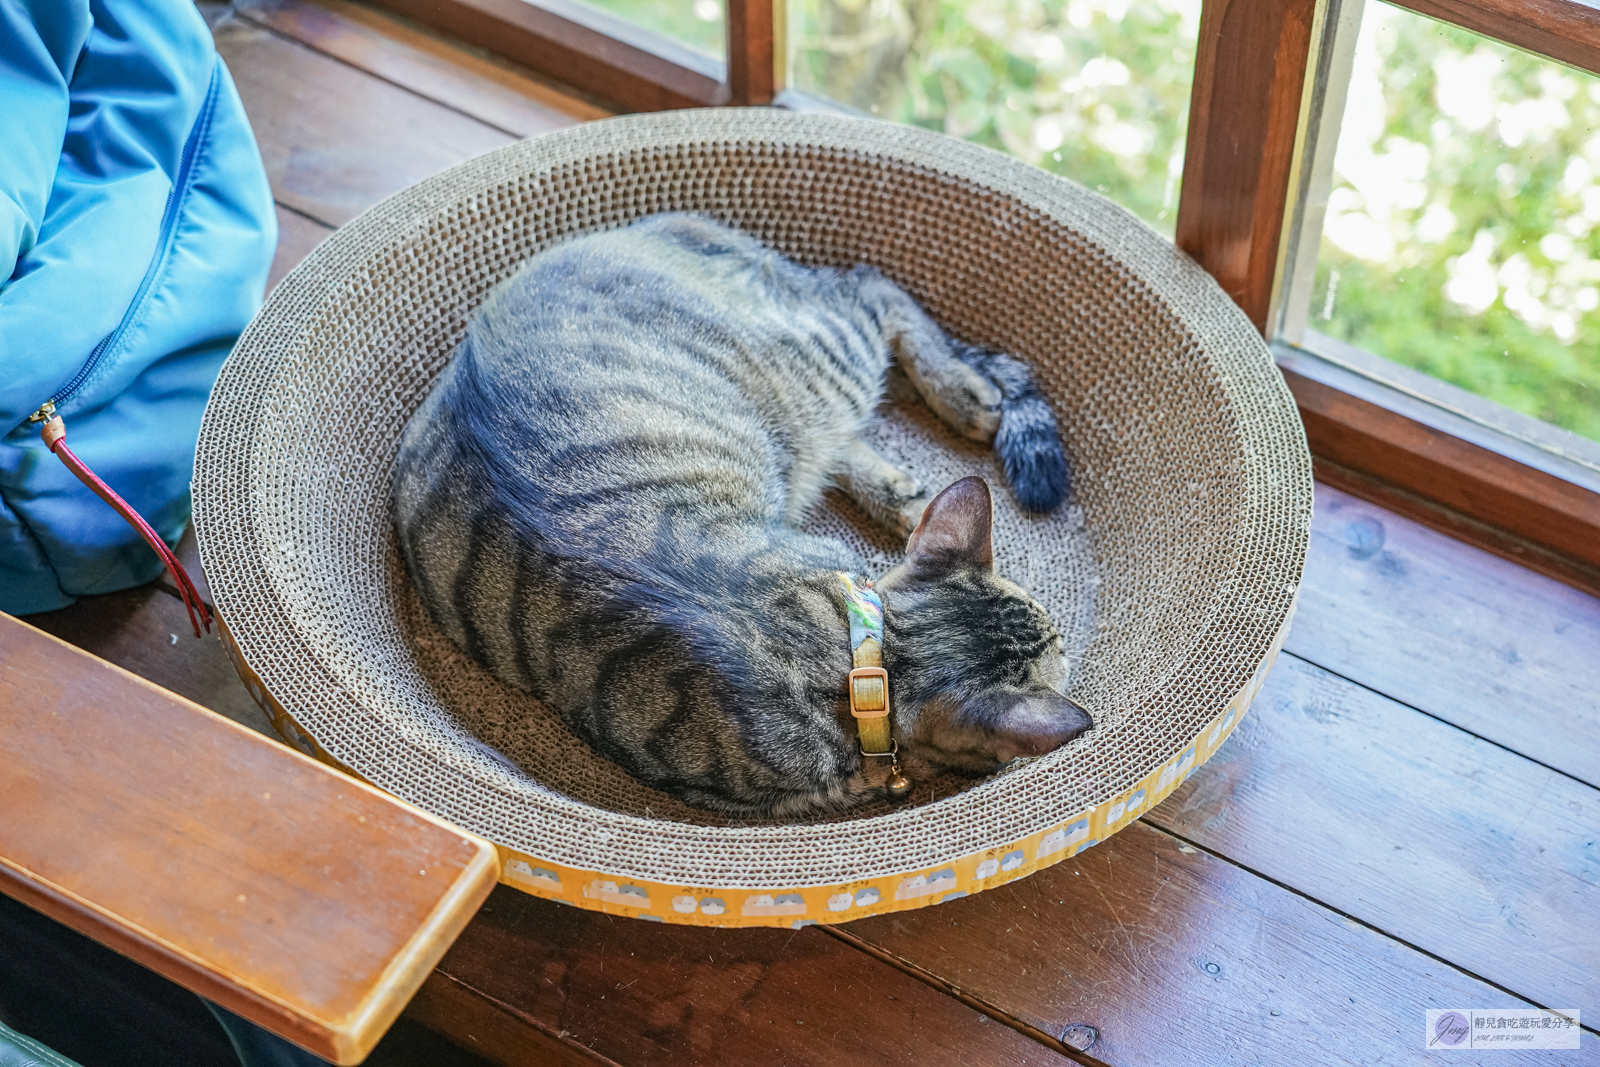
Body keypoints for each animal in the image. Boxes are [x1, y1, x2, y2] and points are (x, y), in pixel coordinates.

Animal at [398, 214, 1094, 819]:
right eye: (1059, 647)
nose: (1065, 637)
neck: (862, 661)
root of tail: (647, 224)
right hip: (812, 378)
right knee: (871, 289)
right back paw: (958, 405)